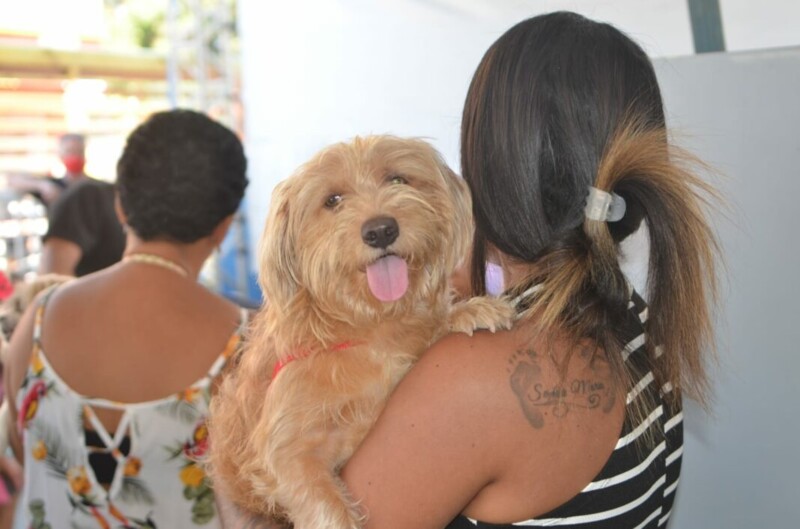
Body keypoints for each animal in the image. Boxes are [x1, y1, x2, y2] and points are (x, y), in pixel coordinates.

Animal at [208, 134, 512, 524]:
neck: (371, 329)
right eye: (332, 200)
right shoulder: (285, 450)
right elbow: (326, 506)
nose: (381, 230)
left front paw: (467, 311)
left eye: (397, 179)